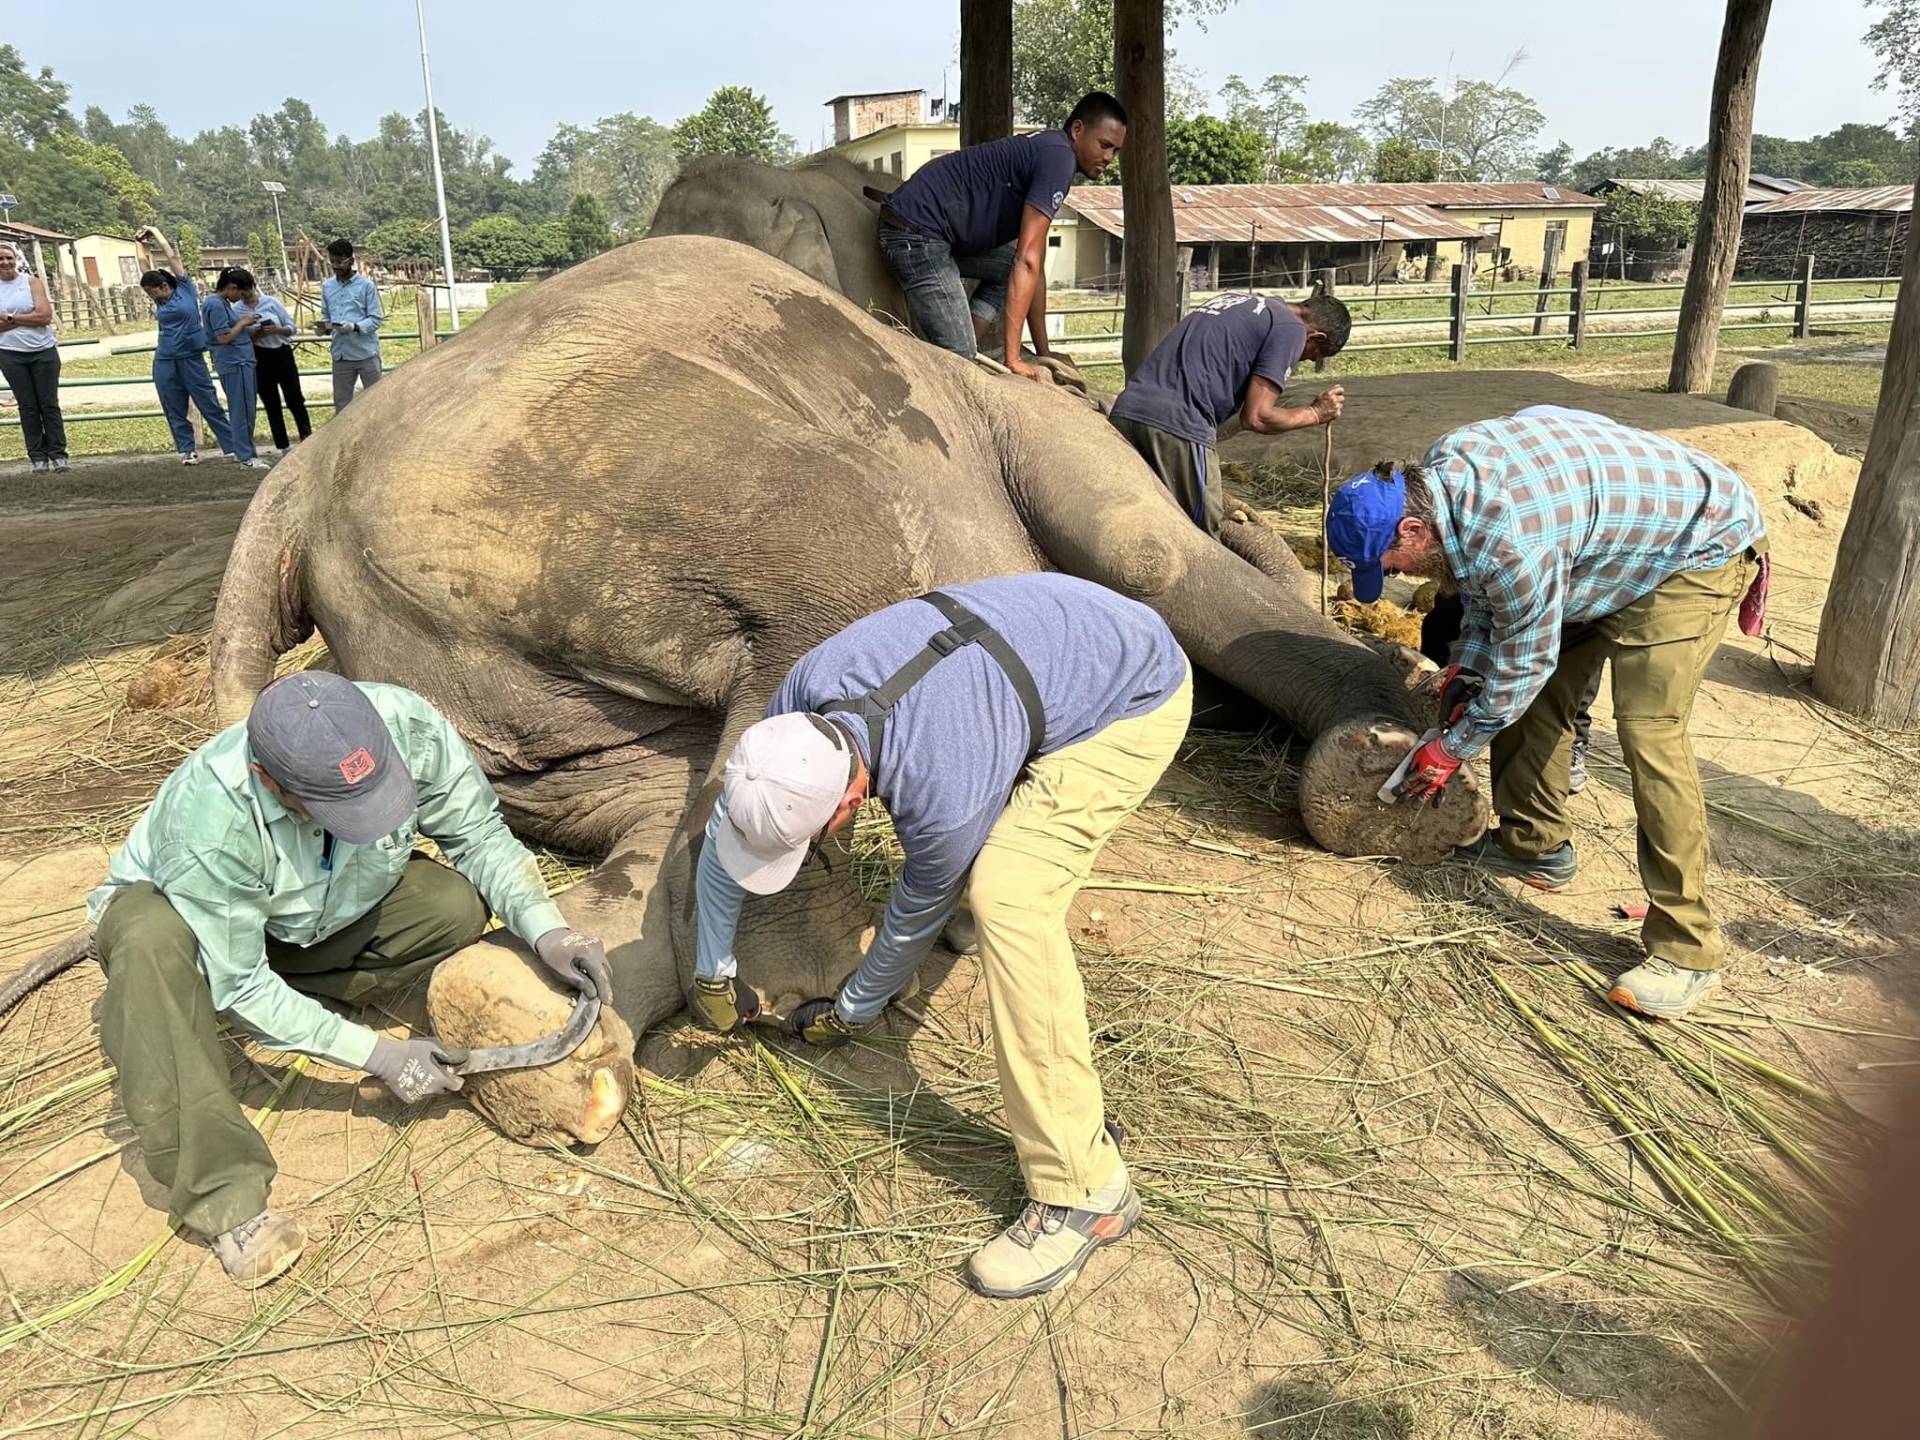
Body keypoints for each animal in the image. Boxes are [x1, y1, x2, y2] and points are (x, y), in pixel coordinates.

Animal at [206, 242, 1482, 1159]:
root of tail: (299, 483)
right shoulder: (1046, 436)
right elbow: (1154, 556)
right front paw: (1401, 771)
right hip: (580, 481)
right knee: (836, 563)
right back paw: (811, 974)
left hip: (485, 671)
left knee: (649, 792)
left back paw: (530, 1039)